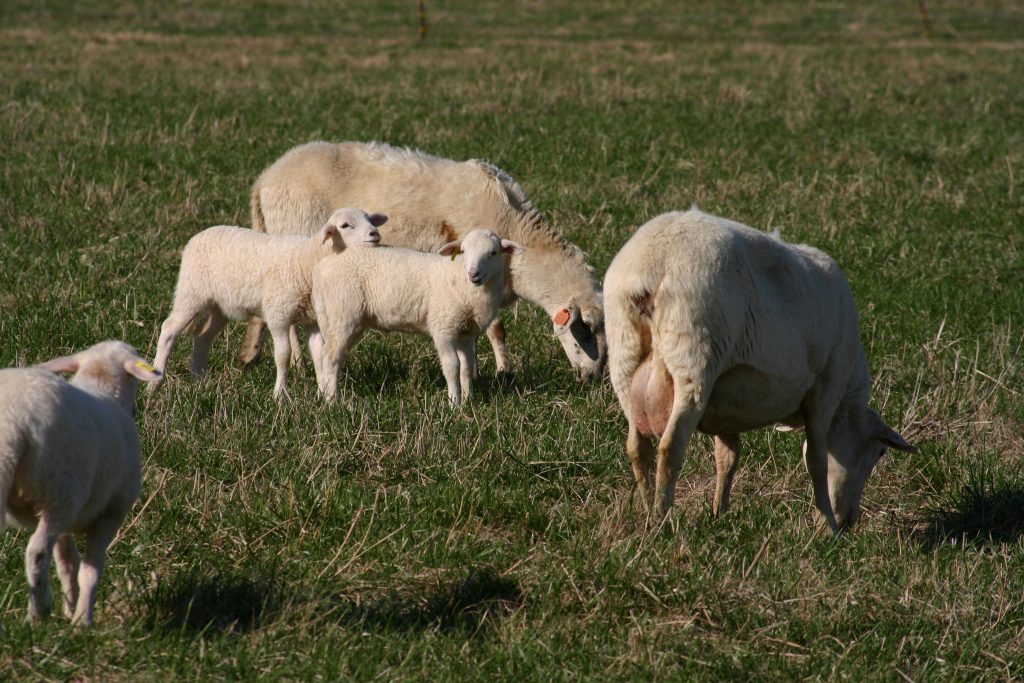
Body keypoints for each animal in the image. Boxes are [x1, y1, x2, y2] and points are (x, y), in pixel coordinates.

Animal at [0, 340, 162, 626]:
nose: (136, 410)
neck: (100, 384)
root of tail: (13, 425)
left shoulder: (67, 524)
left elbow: (67, 563)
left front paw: (71, 607)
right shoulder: (110, 513)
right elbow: (90, 569)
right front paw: (82, 620)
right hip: (60, 493)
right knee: (37, 551)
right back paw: (38, 613)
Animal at [151, 207, 386, 400]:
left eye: (369, 219)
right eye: (345, 225)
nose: (375, 234)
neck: (308, 260)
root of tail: (200, 234)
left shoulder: (312, 319)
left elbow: (319, 354)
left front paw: (322, 393)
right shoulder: (278, 315)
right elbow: (283, 355)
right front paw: (280, 395)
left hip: (221, 305)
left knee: (202, 336)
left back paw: (199, 382)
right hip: (191, 292)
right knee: (169, 329)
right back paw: (155, 383)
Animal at [240, 140, 605, 380]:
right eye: (585, 330)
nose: (594, 378)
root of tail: (265, 179)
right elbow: (496, 328)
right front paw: (503, 371)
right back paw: (298, 364)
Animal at [312, 228, 524, 405]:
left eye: (493, 253)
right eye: (463, 251)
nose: (473, 274)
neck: (460, 281)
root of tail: (322, 268)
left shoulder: (467, 333)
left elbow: (466, 368)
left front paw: (468, 400)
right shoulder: (443, 329)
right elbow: (452, 366)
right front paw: (454, 404)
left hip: (331, 317)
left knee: (324, 355)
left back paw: (323, 395)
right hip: (343, 316)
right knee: (331, 359)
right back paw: (333, 402)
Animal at [604, 208, 915, 532]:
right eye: (879, 451)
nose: (848, 523)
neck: (847, 399)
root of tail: (651, 266)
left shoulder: (725, 402)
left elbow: (727, 458)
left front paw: (719, 513)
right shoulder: (826, 389)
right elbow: (816, 460)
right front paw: (826, 524)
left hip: (624, 360)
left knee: (637, 448)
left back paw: (648, 515)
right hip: (693, 359)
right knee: (669, 448)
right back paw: (662, 519)